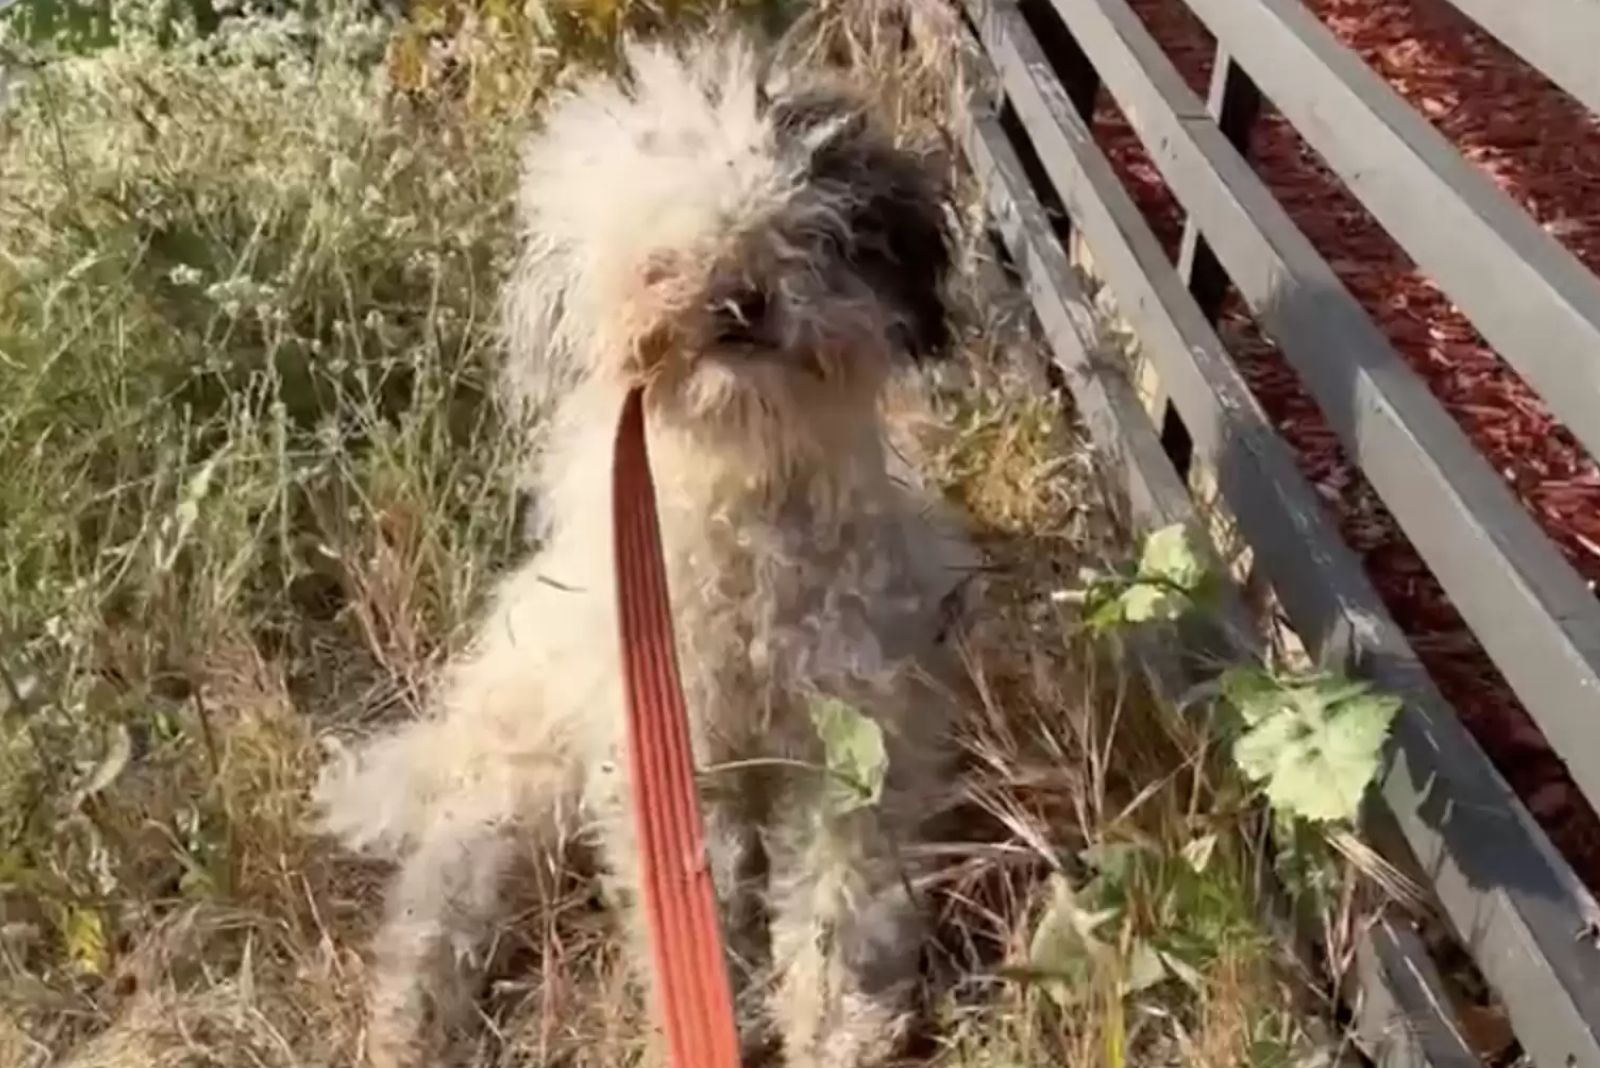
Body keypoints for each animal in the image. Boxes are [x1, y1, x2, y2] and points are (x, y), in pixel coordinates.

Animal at [312, 27, 960, 1068]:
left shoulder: (853, 742)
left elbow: (840, 905)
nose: (736, 296)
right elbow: (700, 910)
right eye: (657, 250)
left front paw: (836, 1030)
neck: (741, 500)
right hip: (517, 775)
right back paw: (410, 1020)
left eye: (810, 223)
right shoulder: (661, 757)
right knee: (442, 887)